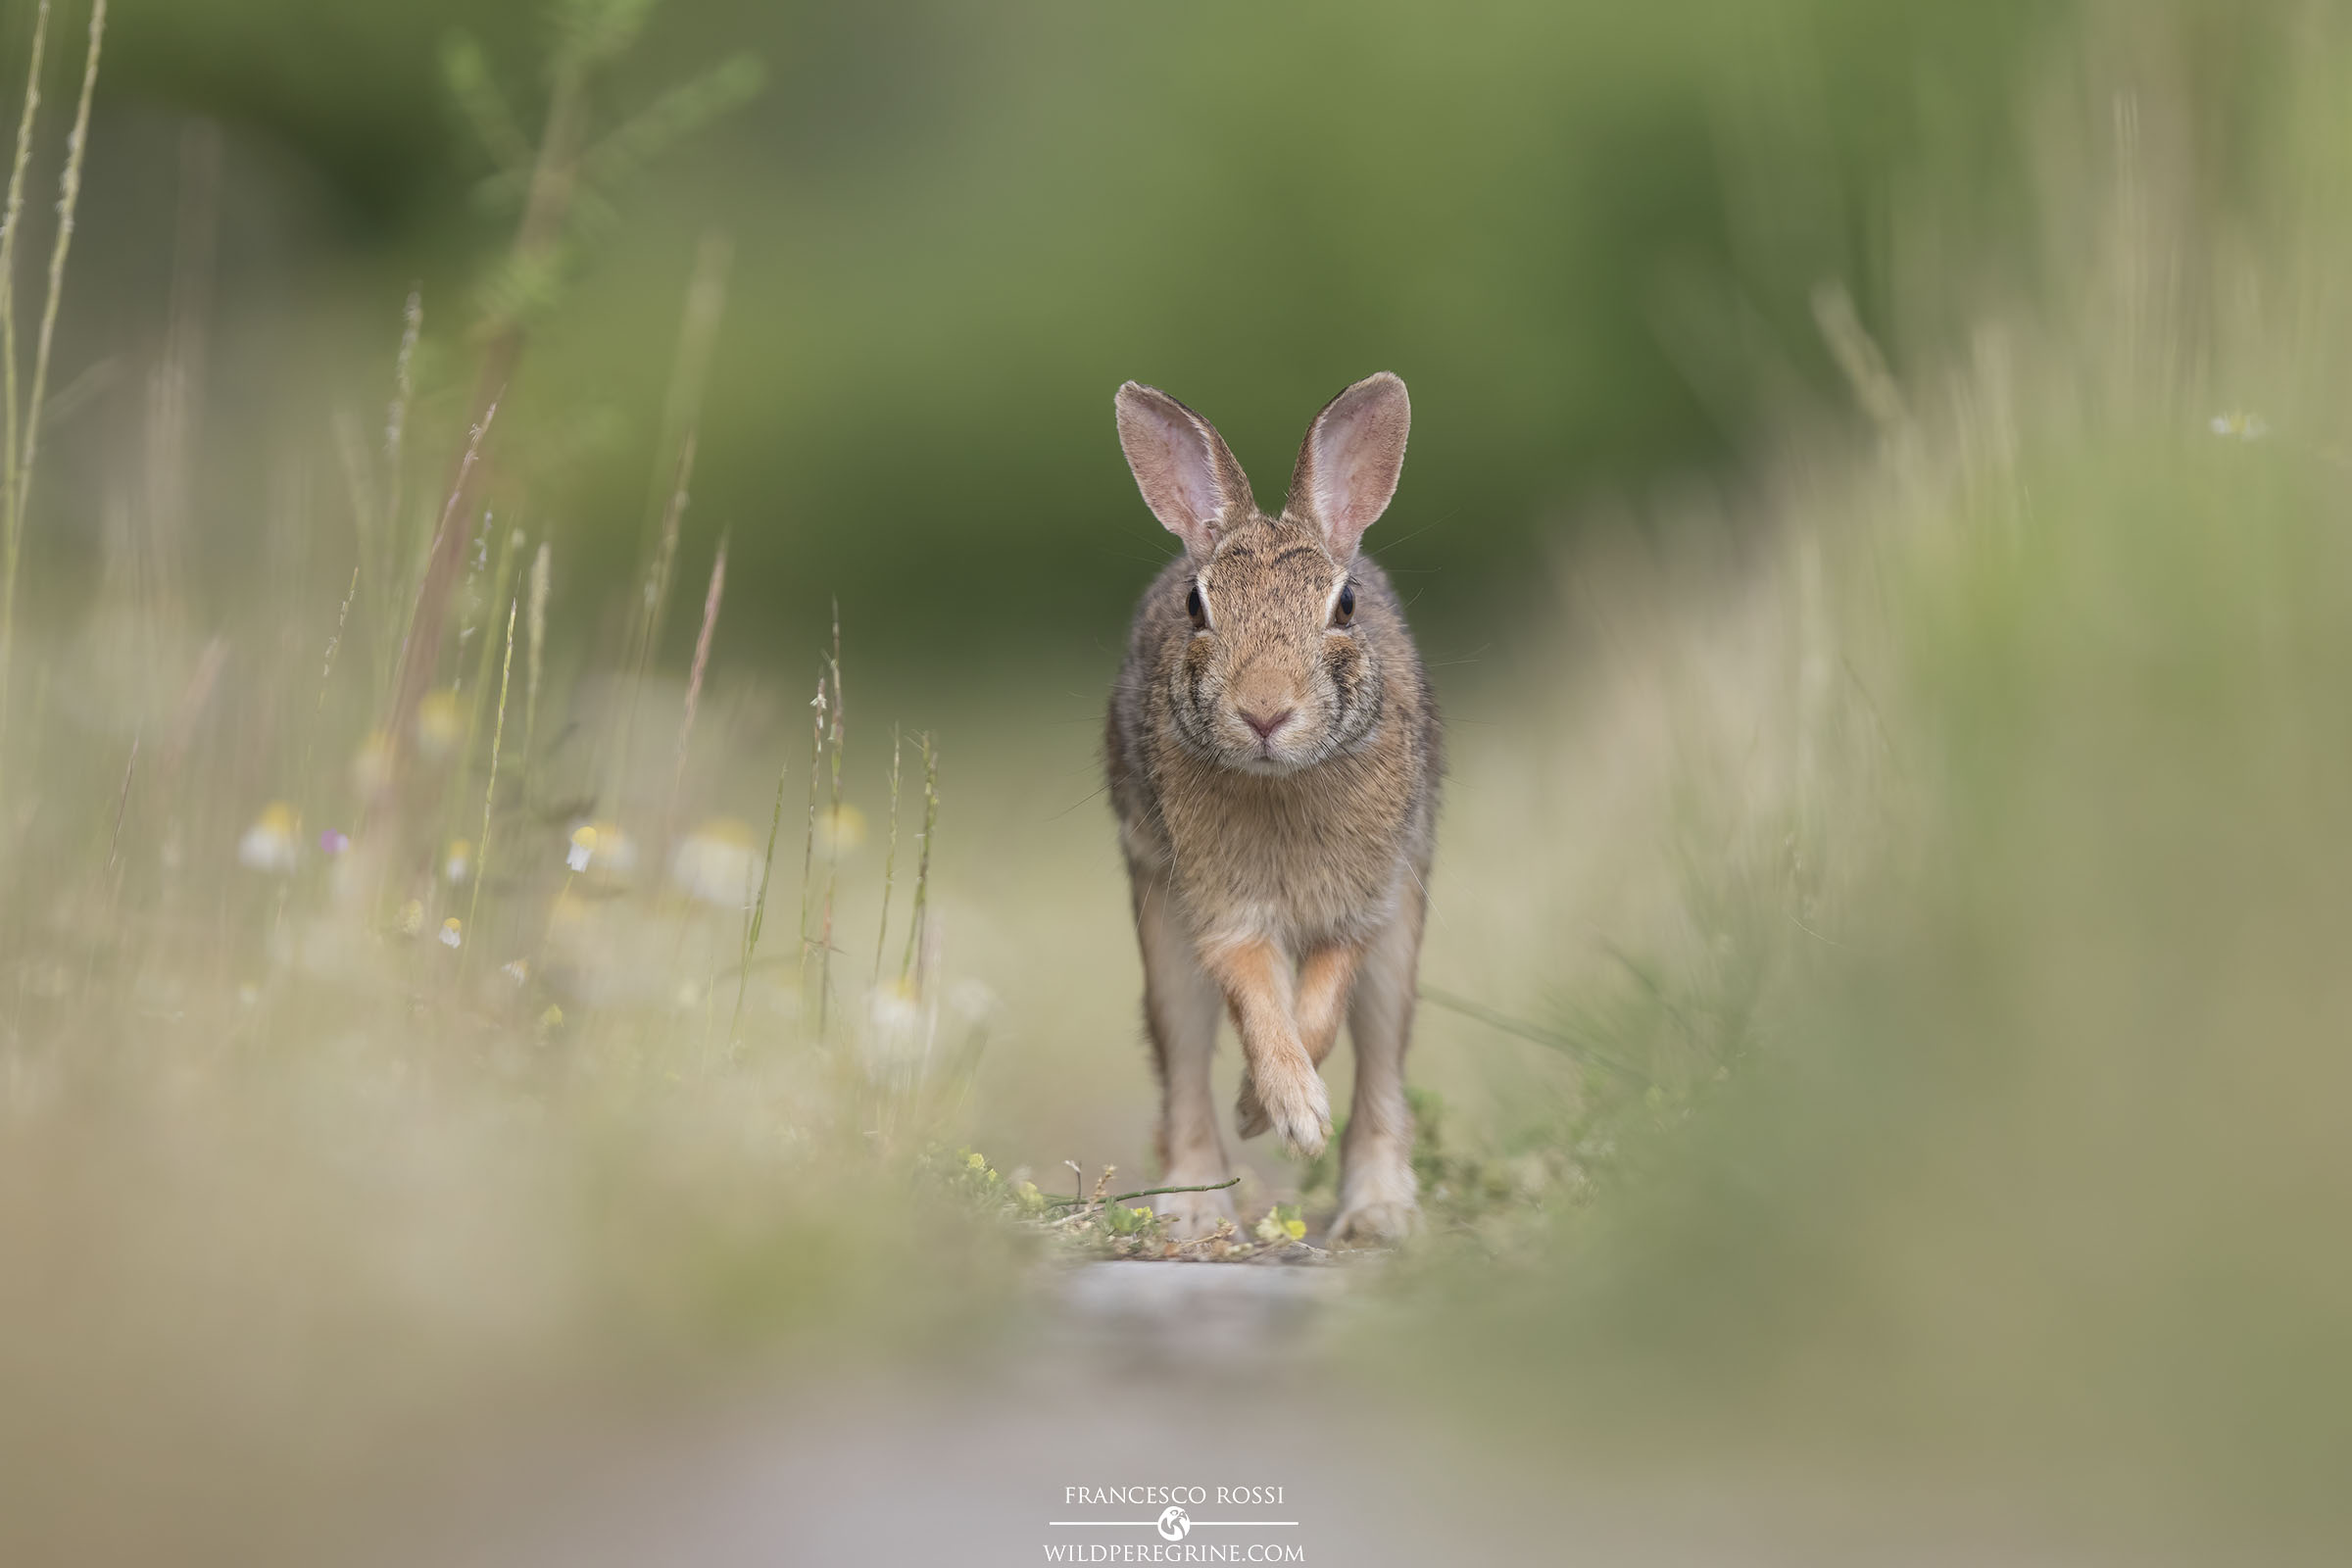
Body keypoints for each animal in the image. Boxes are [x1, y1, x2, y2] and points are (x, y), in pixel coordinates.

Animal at [1105, 372, 1440, 1246]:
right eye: (1197, 607)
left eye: (1345, 604)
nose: (1263, 712)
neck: (1281, 781)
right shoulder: (1220, 907)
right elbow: (1260, 995)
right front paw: (1280, 1106)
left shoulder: (1366, 901)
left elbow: (1317, 1008)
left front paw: (1272, 1111)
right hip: (1160, 931)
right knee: (1183, 1060)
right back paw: (1193, 1212)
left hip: (1401, 945)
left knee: (1382, 1059)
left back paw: (1379, 1211)